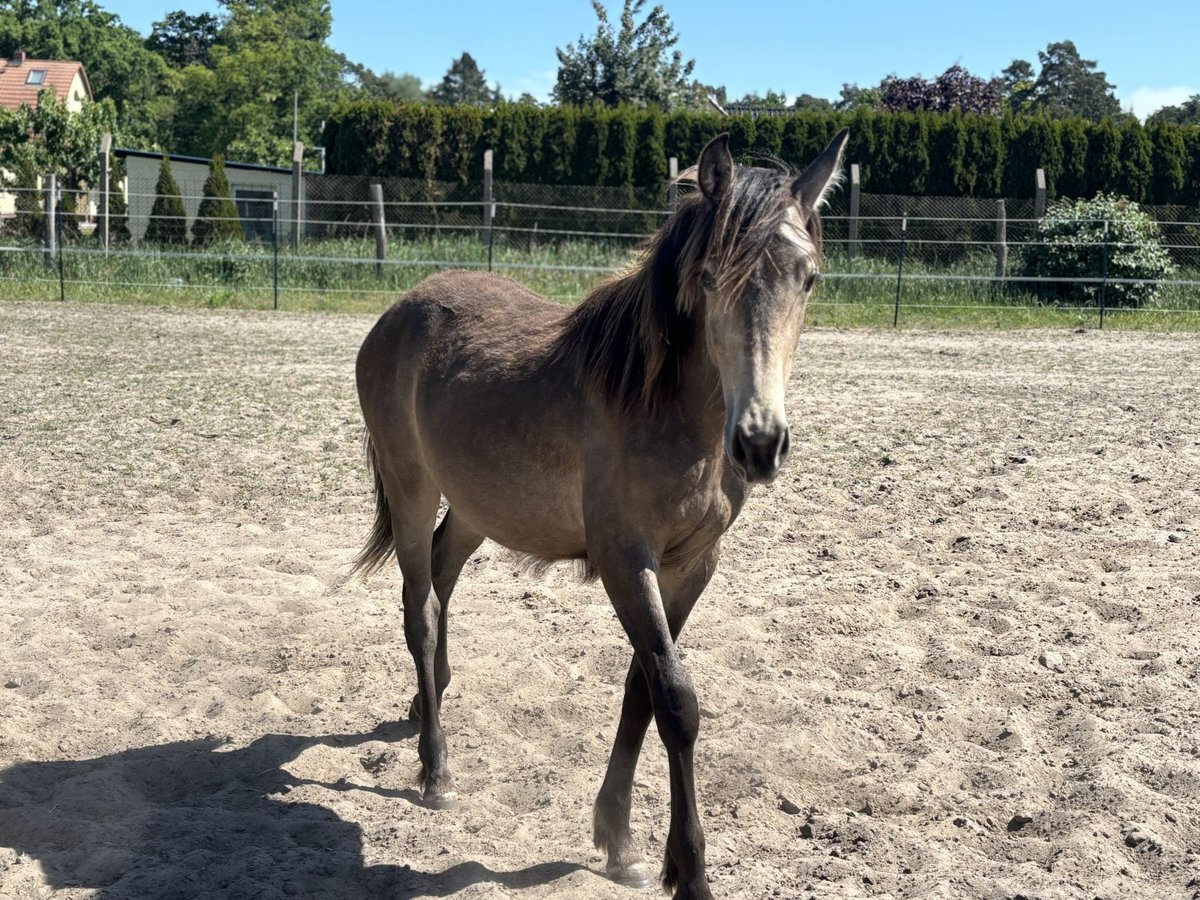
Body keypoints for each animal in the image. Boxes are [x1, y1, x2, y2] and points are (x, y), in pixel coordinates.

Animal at [350, 128, 849, 900]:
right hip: (411, 487)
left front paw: (617, 839)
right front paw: (688, 869)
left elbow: (642, 688)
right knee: (420, 609)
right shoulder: (624, 559)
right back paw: (436, 769)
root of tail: (399, 310)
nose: (760, 443)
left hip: (476, 507)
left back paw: (423, 704)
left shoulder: (692, 565)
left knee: (441, 574)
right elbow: (676, 699)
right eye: (711, 278)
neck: (659, 404)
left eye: (809, 278)